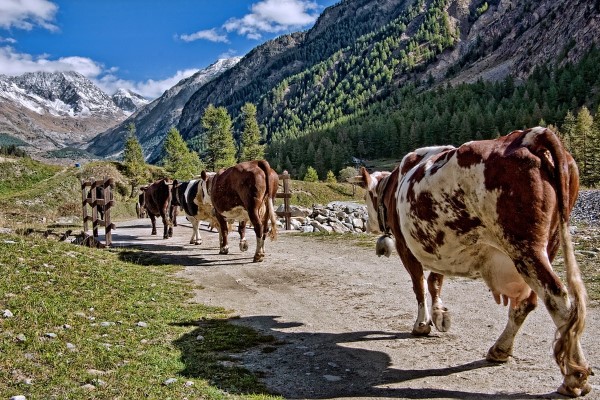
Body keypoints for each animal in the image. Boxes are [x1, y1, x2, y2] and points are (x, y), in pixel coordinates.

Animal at [350, 126, 592, 396]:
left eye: (366, 198)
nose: (367, 224)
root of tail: (531, 135)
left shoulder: (406, 247)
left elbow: (419, 285)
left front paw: (422, 323)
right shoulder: (439, 246)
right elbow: (435, 281)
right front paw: (440, 315)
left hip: (525, 248)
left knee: (558, 298)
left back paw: (574, 377)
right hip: (549, 244)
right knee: (527, 303)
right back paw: (500, 350)